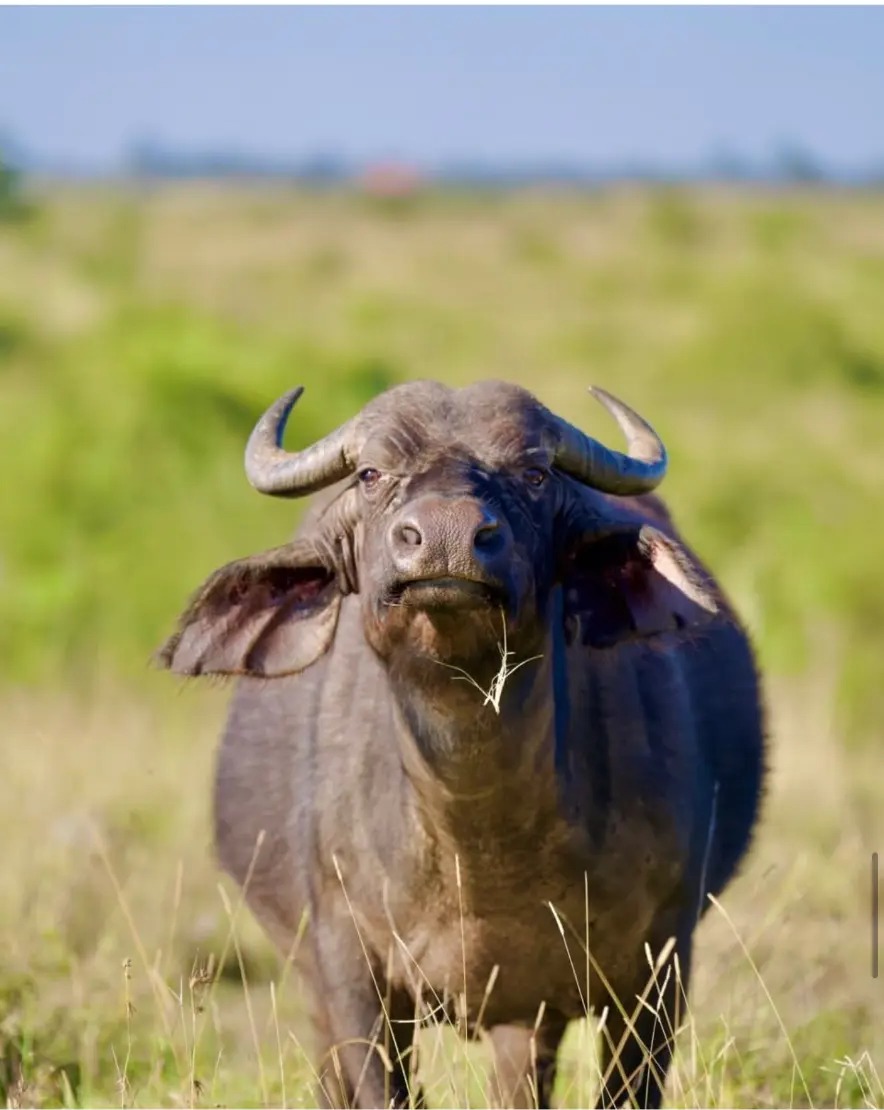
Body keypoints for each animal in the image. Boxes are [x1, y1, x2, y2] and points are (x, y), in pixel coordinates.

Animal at [160, 380, 765, 1109]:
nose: (447, 536)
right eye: (371, 474)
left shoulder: (658, 968)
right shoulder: (352, 978)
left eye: (535, 474)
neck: (480, 849)